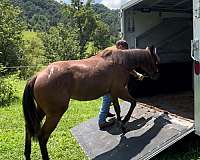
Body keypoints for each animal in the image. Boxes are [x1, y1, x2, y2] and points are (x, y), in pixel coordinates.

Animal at [22, 45, 159, 159]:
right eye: (156, 61)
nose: (156, 75)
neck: (120, 62)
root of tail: (37, 76)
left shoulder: (113, 93)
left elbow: (117, 109)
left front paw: (122, 126)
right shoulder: (120, 91)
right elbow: (133, 103)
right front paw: (125, 122)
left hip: (41, 111)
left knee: (28, 127)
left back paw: (27, 154)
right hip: (54, 115)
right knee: (42, 137)